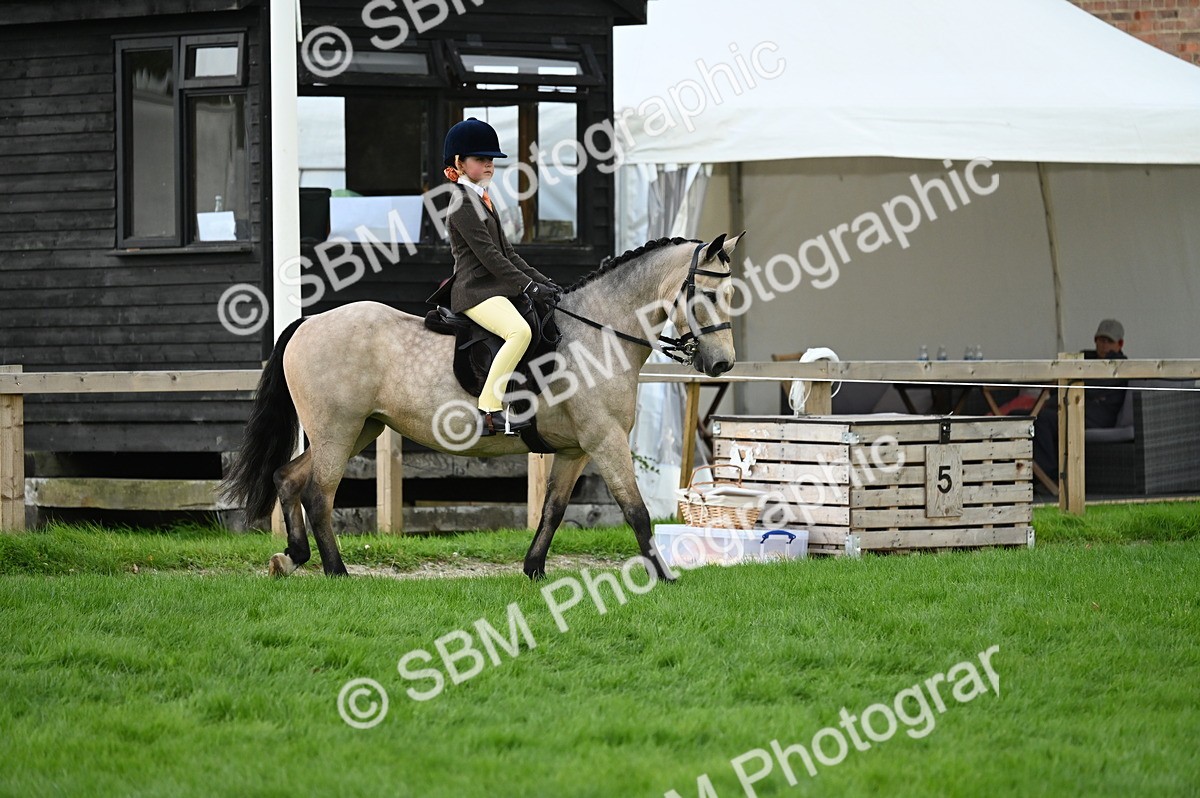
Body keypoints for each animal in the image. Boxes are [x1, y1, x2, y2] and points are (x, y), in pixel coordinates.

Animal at [221, 232, 743, 581]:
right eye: (707, 294)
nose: (721, 364)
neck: (596, 332)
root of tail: (308, 323)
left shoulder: (574, 450)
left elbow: (553, 510)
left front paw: (533, 570)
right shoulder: (606, 440)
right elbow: (635, 511)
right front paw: (664, 577)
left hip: (361, 428)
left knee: (288, 478)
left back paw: (291, 557)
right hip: (338, 430)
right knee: (318, 493)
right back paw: (336, 571)